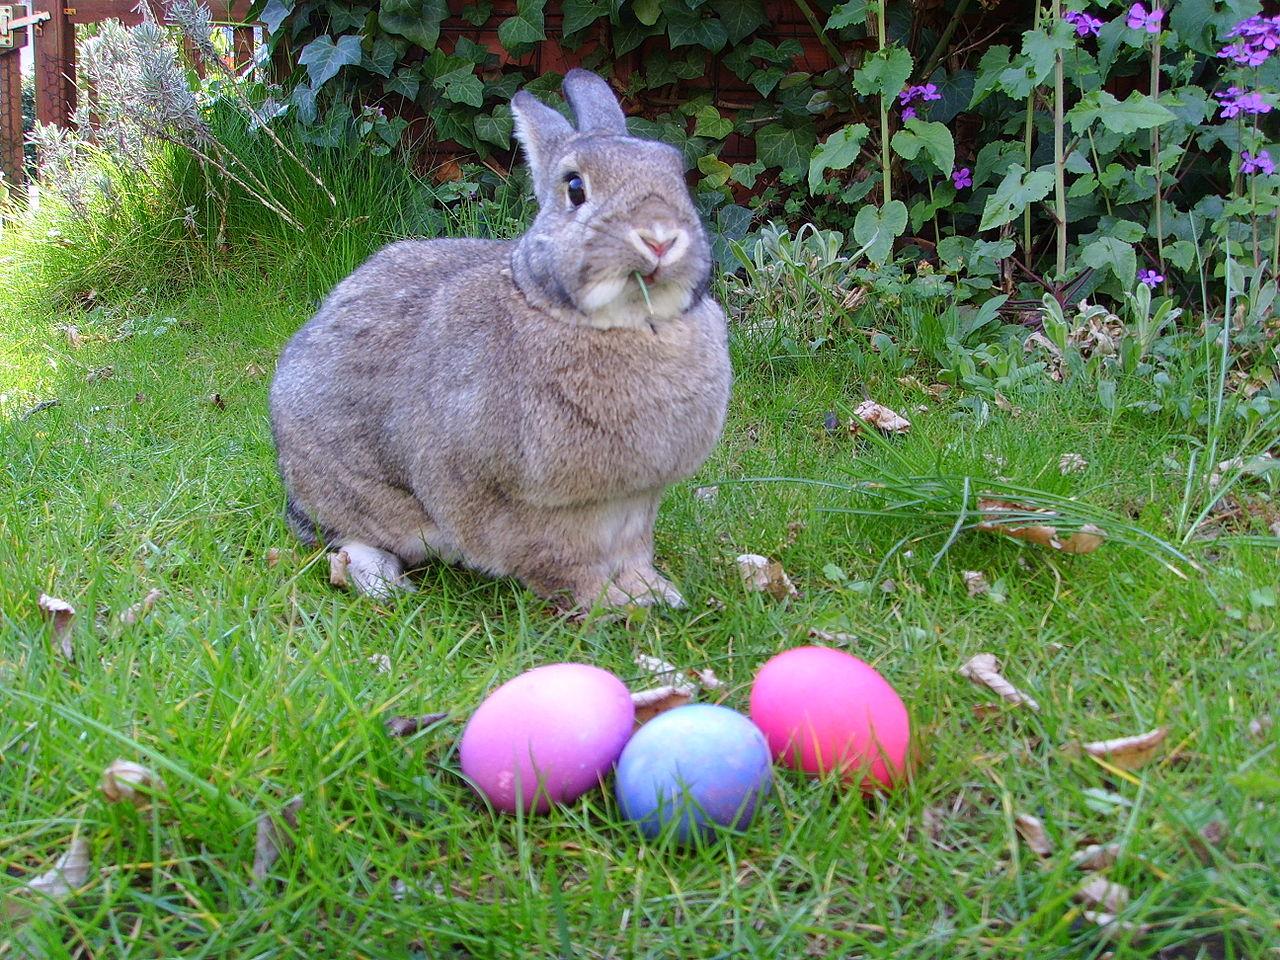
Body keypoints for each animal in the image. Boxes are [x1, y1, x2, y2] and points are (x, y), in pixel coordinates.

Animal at [270, 71, 732, 609]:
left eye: (677, 175)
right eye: (576, 188)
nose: (659, 238)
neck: (630, 324)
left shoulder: (636, 504)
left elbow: (634, 553)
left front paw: (655, 594)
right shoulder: (543, 511)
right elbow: (567, 567)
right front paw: (610, 606)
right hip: (371, 503)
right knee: (348, 541)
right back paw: (385, 584)